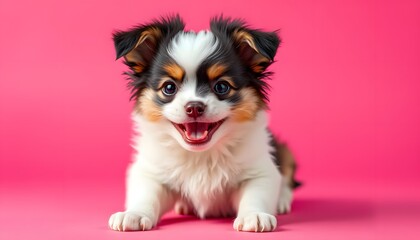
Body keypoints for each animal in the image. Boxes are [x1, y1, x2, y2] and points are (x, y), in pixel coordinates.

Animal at [108, 15, 298, 232]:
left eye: (222, 87)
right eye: (169, 87)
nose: (194, 107)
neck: (201, 155)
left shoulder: (260, 171)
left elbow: (256, 194)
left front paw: (255, 215)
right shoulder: (150, 171)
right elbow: (146, 195)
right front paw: (133, 214)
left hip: (284, 151)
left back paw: (282, 201)